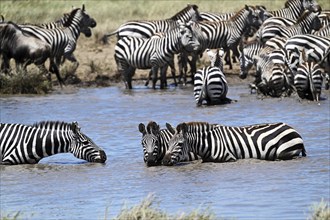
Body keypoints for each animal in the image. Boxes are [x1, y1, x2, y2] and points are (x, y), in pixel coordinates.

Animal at [163, 121, 306, 166]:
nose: (164, 161)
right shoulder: (205, 160)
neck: (209, 142)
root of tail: (292, 128)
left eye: (180, 144)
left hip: (284, 151)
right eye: (168, 143)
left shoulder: (229, 158)